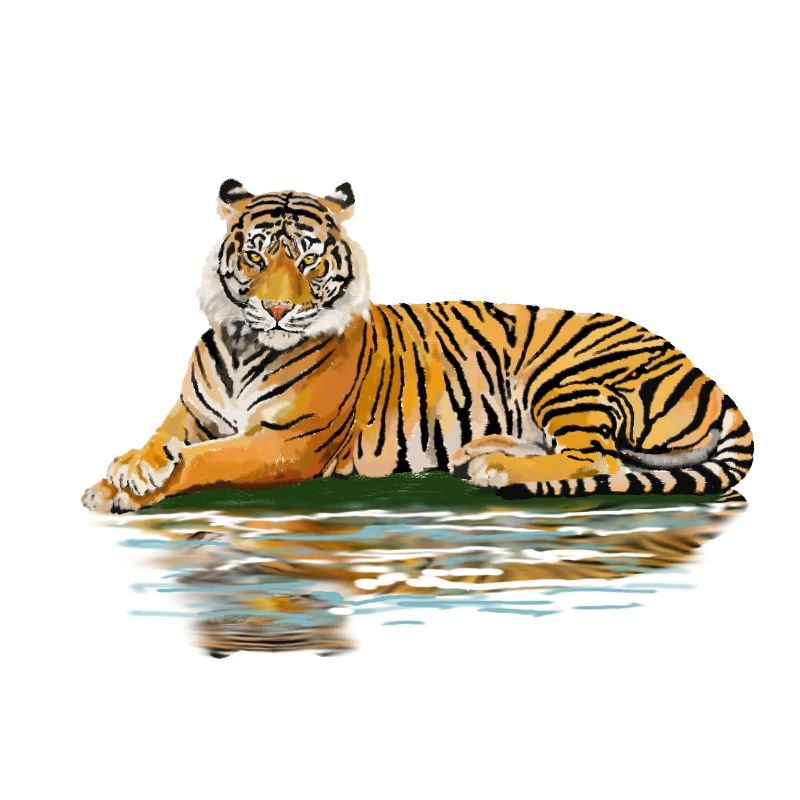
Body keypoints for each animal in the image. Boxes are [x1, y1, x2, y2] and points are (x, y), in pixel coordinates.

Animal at [81, 180, 754, 513]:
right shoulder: (191, 413)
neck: (246, 343)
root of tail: (705, 374)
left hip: (566, 376)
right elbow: (162, 440)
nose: (276, 309)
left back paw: (496, 468)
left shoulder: (285, 444)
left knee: (600, 462)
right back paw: (483, 451)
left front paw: (131, 489)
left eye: (308, 258)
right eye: (255, 255)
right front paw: (124, 471)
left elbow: (206, 460)